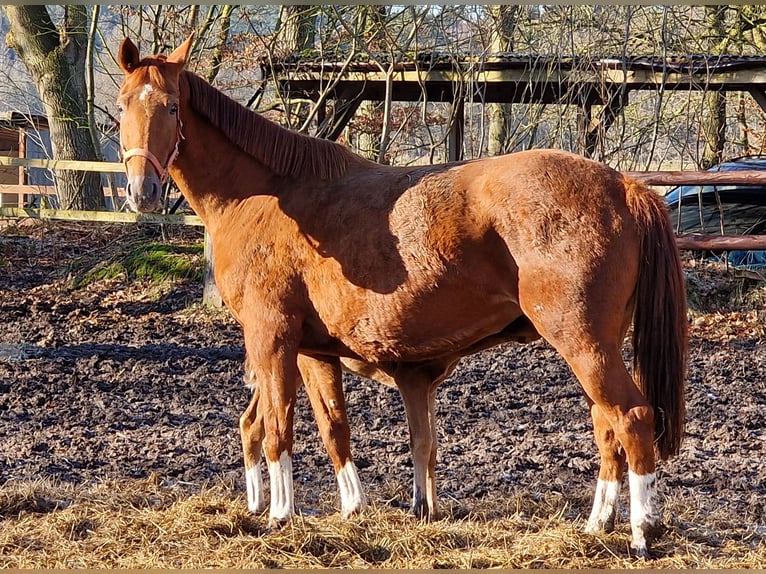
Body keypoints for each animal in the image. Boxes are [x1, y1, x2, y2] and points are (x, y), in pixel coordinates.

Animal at [117, 36, 688, 560]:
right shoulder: (313, 352)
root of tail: (625, 186)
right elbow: (334, 428)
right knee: (607, 427)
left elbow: (279, 427)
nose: (142, 190)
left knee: (632, 418)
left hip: (583, 343)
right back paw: (597, 526)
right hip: (598, 347)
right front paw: (352, 508)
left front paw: (281, 515)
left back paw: (641, 533)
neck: (264, 195)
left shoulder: (271, 337)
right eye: (124, 104)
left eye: (171, 106)